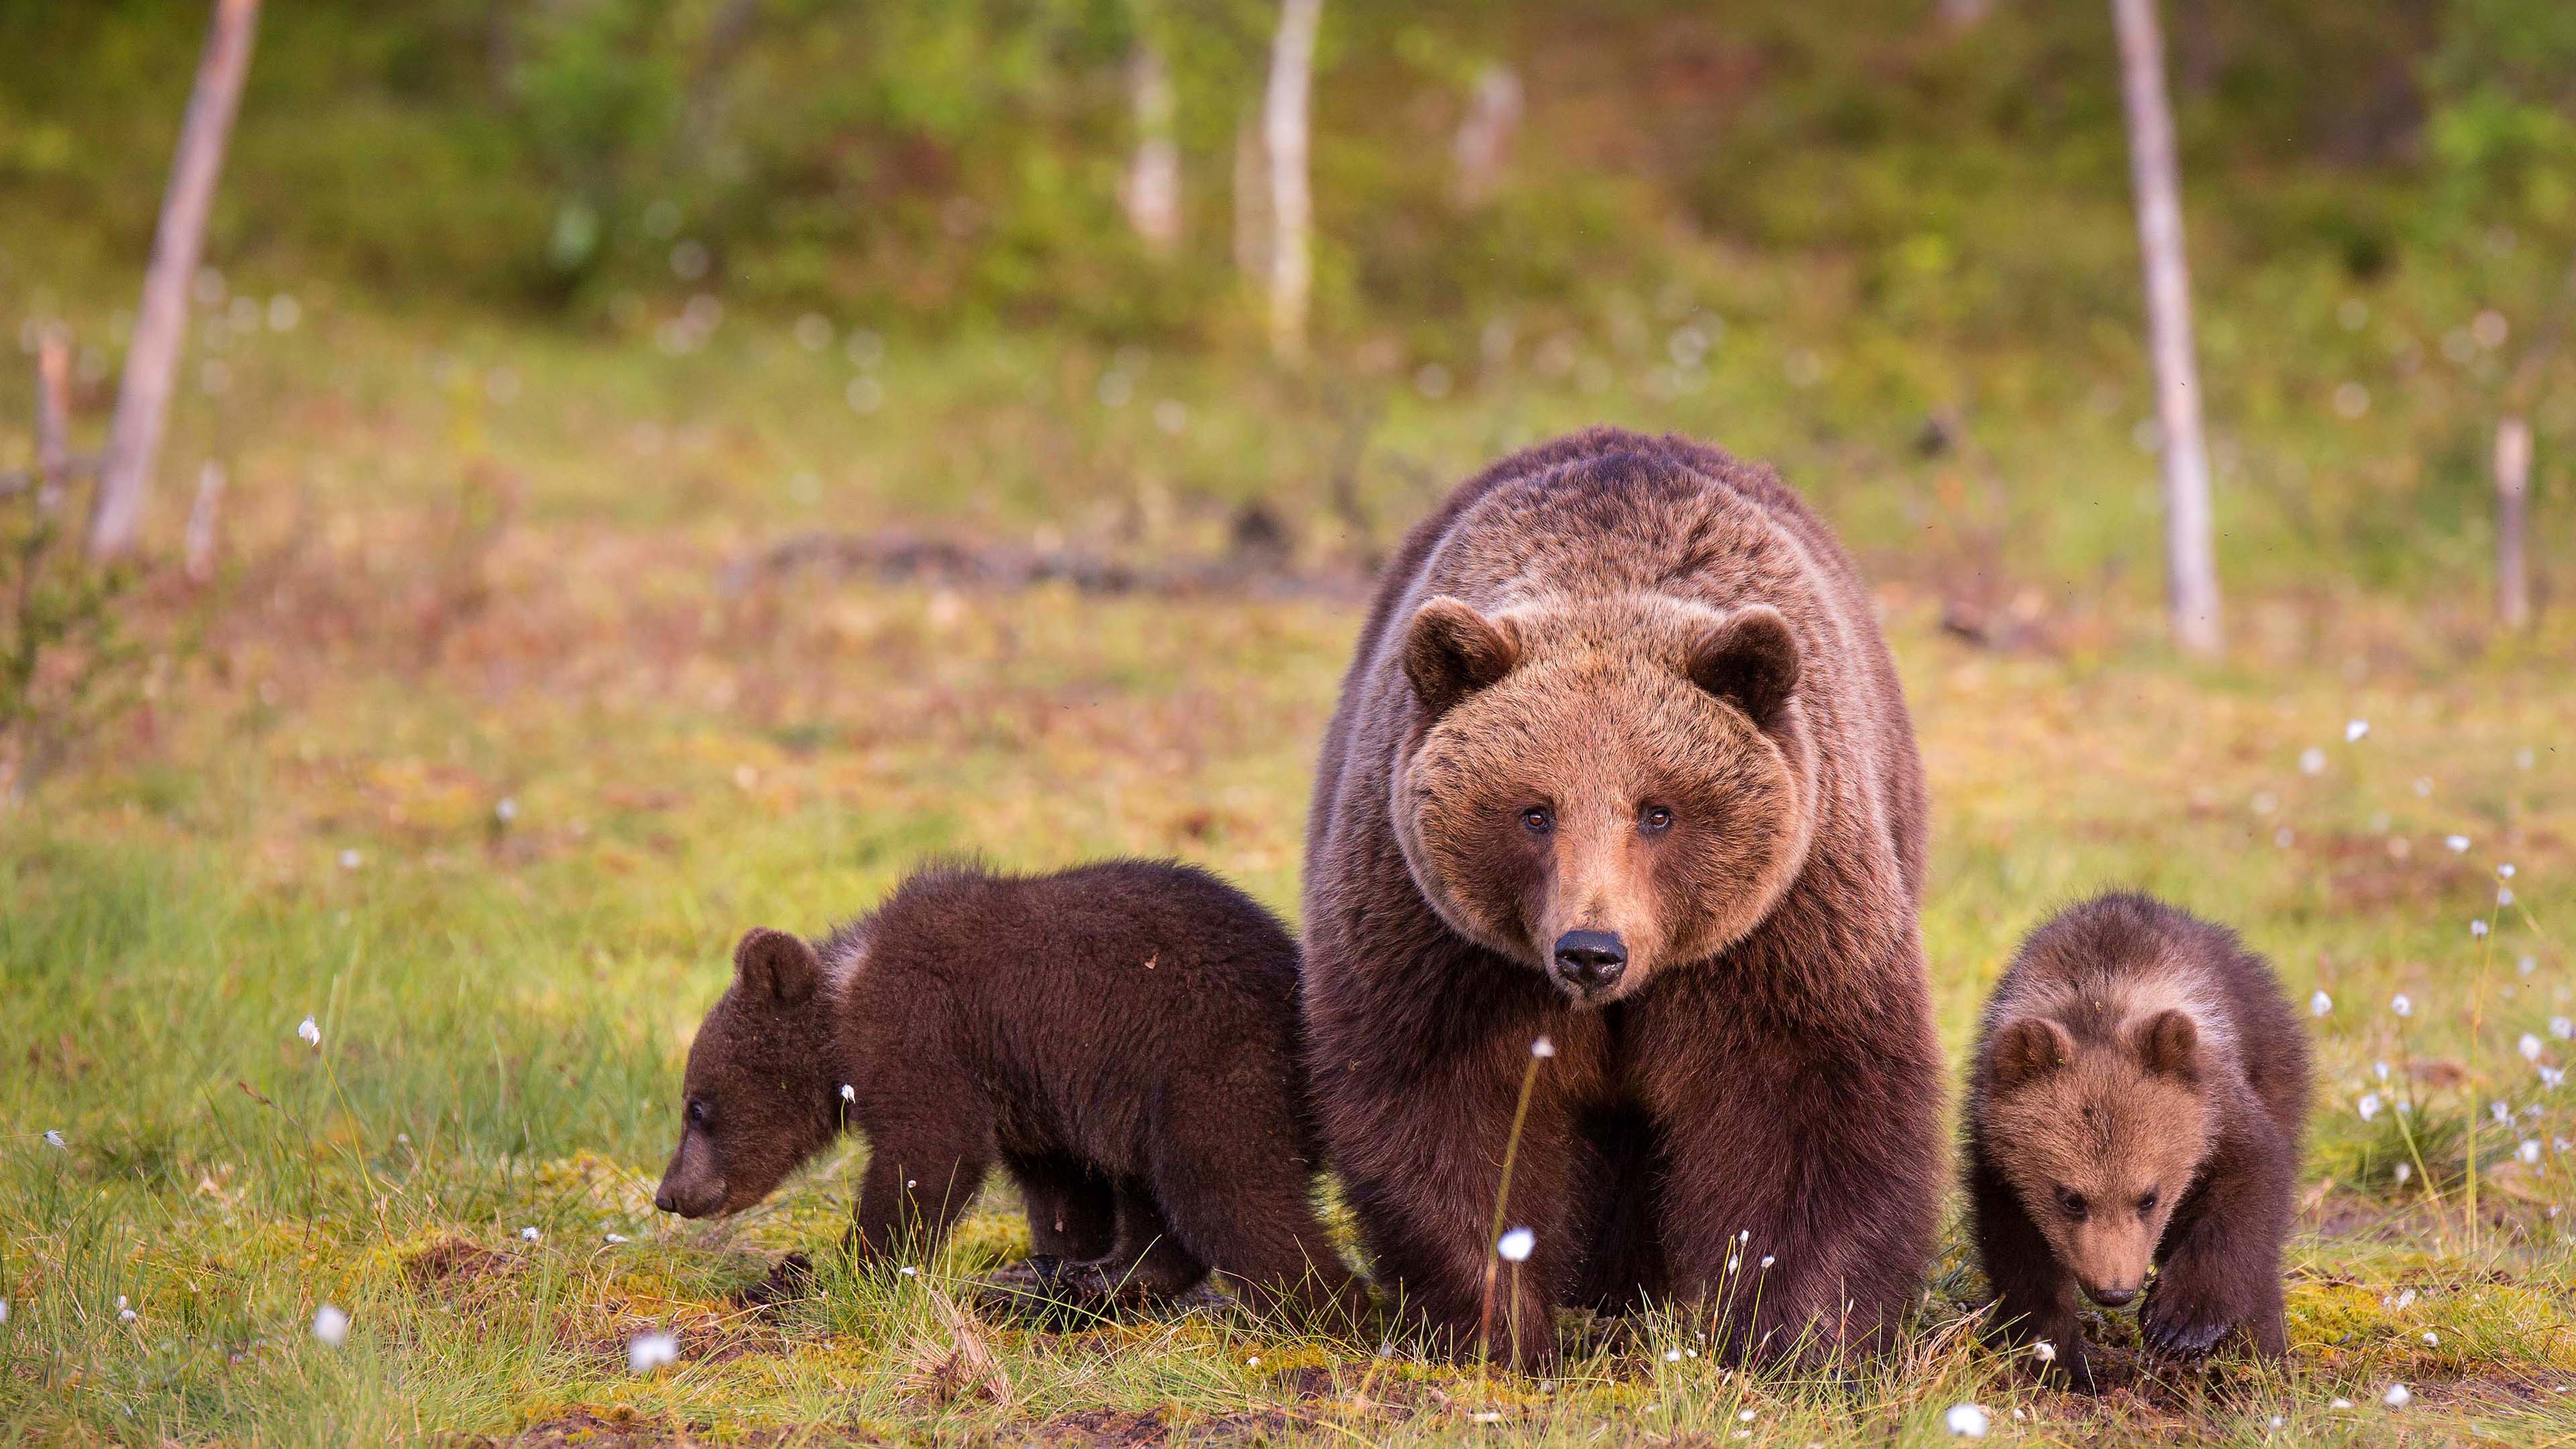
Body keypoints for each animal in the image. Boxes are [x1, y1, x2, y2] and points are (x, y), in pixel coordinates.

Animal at [1308, 423, 1937, 1361]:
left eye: (1658, 810)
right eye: (1535, 810)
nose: (1590, 951)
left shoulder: (1783, 926)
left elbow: (1810, 1099)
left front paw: (1798, 1334)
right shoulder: (1444, 942)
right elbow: (1450, 1107)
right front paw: (1500, 1321)